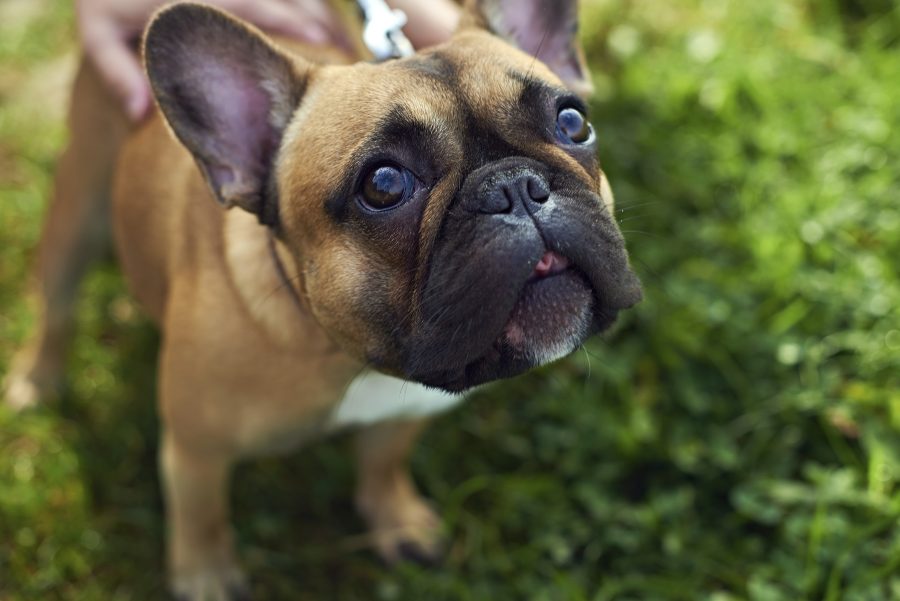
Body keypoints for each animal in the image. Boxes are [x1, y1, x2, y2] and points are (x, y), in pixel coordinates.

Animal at [5, 2, 640, 596]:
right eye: (384, 185)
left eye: (572, 122)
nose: (515, 186)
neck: (348, 356)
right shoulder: (195, 448)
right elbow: (201, 513)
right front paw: (206, 578)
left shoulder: (406, 412)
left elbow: (383, 461)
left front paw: (397, 522)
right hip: (79, 204)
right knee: (57, 302)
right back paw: (37, 379)